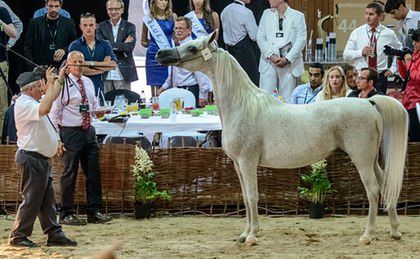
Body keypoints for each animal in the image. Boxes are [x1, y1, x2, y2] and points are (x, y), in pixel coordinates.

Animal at [157, 32, 406, 246]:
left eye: (192, 47)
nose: (161, 54)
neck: (242, 106)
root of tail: (369, 103)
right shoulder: (238, 165)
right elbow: (245, 198)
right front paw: (244, 234)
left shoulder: (247, 163)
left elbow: (253, 197)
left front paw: (252, 237)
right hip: (372, 161)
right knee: (385, 186)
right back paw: (394, 231)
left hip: (362, 160)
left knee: (373, 191)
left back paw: (367, 235)